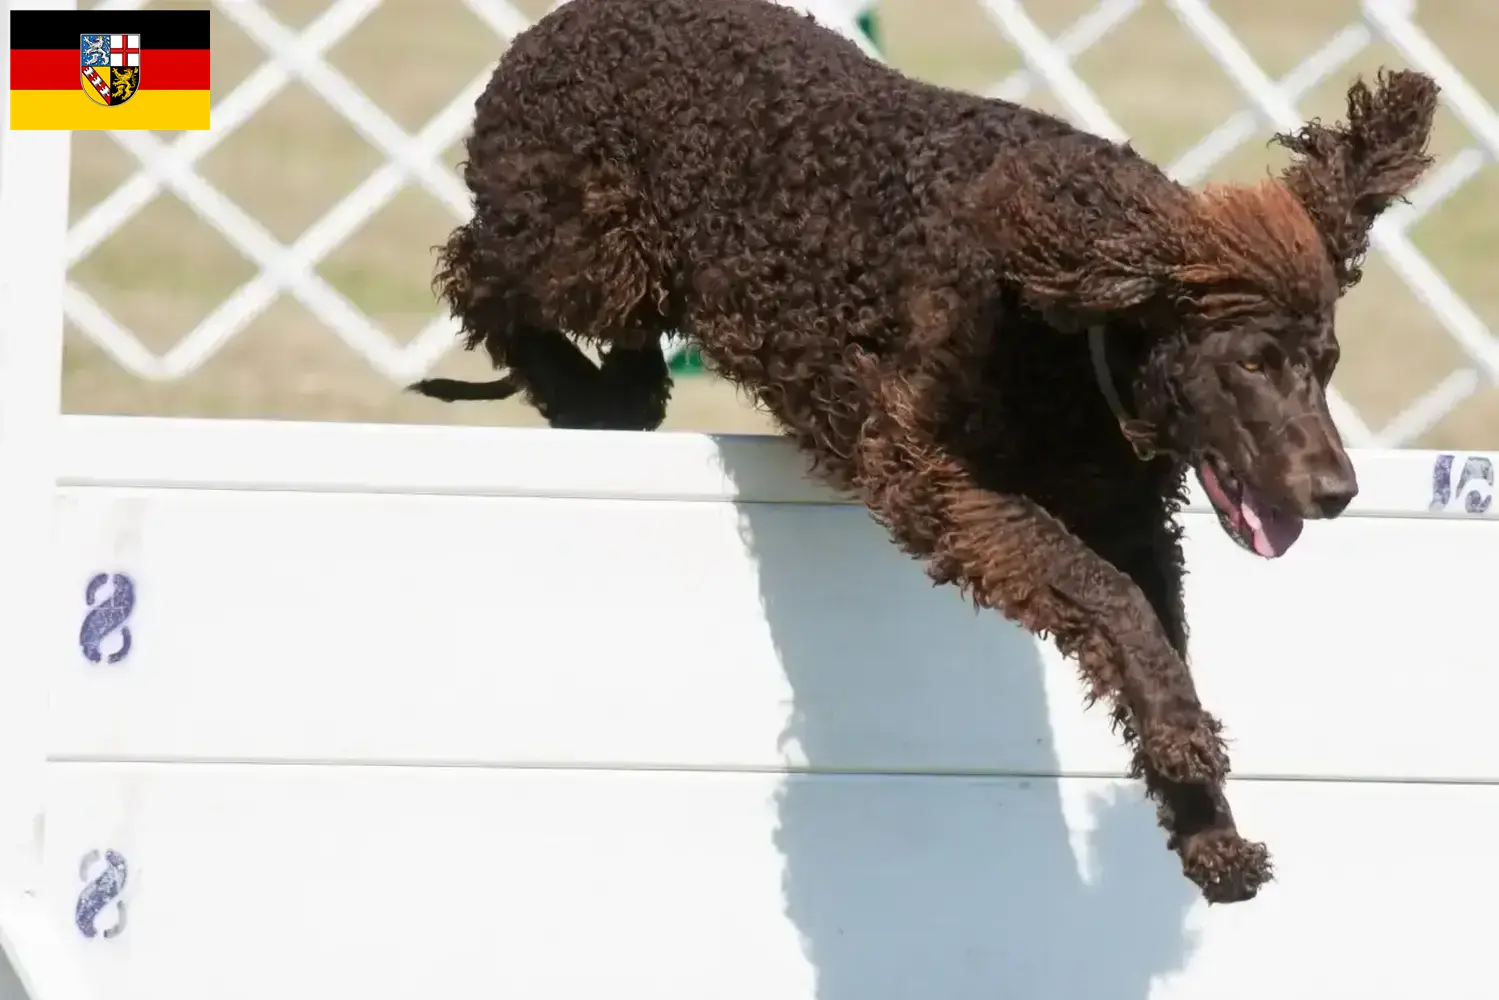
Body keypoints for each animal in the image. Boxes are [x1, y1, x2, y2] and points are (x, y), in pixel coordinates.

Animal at [410, 0, 1439, 905]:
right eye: (1250, 365)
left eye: (1325, 365)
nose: (1337, 491)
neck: (1068, 328)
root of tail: (560, 22)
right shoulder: (938, 476)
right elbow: (1108, 599)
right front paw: (1190, 748)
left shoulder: (1131, 520)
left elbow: (1151, 632)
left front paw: (1206, 828)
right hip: (582, 241)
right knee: (480, 273)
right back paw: (568, 385)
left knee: (610, 347)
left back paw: (610, 395)